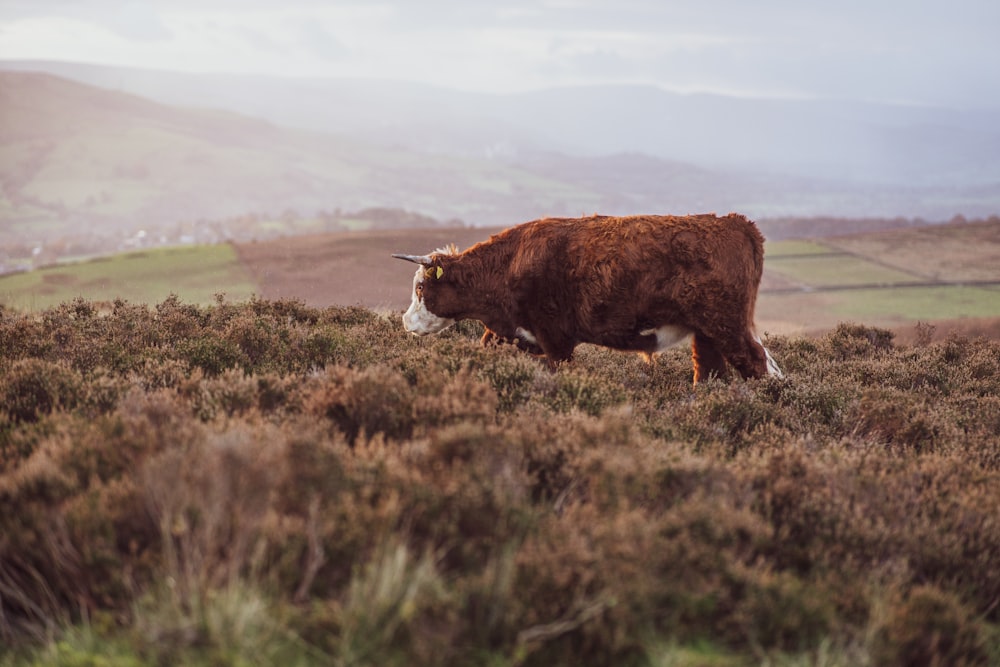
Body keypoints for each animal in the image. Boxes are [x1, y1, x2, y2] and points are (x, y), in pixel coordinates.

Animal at [394, 211, 784, 384]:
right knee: (712, 374)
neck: (510, 264)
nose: (405, 321)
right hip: (707, 335)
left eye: (420, 287)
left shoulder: (556, 339)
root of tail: (738, 223)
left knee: (758, 366)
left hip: (728, 328)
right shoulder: (513, 334)